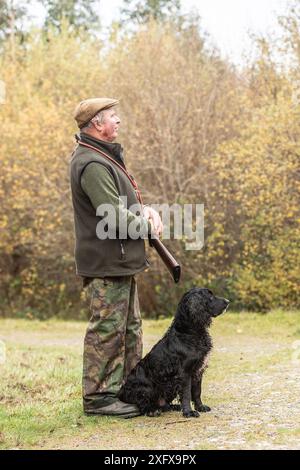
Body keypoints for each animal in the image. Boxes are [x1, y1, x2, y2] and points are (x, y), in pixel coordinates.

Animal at [118, 288, 229, 416]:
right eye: (210, 297)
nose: (228, 301)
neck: (188, 333)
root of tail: (121, 392)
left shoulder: (198, 370)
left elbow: (197, 392)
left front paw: (200, 407)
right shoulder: (185, 372)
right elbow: (186, 394)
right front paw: (189, 412)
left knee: (163, 405)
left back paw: (174, 406)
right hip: (146, 388)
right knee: (142, 404)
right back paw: (152, 411)